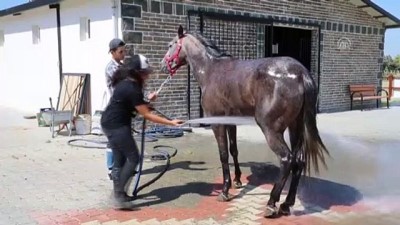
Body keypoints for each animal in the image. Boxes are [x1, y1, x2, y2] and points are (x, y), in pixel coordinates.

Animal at [159, 25, 328, 218]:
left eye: (170, 44)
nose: (162, 65)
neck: (211, 70)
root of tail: (300, 74)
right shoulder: (231, 121)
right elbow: (234, 149)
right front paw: (238, 180)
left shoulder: (217, 123)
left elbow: (223, 154)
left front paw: (225, 191)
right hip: (295, 127)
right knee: (298, 162)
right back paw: (286, 205)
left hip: (271, 129)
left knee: (287, 159)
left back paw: (271, 204)